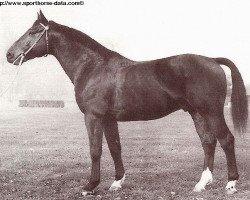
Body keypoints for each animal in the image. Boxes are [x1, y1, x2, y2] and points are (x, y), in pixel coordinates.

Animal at [6, 10, 248, 195]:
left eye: (33, 32)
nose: (9, 54)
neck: (93, 67)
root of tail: (212, 60)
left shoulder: (93, 117)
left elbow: (95, 150)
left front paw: (90, 186)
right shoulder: (109, 119)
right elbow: (115, 148)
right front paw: (117, 182)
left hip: (212, 112)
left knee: (226, 140)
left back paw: (231, 183)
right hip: (197, 113)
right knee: (208, 142)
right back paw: (201, 184)